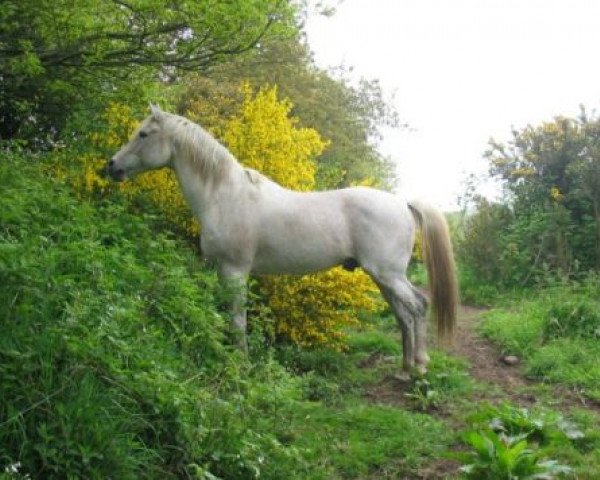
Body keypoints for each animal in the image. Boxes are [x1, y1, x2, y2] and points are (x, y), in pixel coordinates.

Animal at [108, 105, 458, 378]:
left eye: (143, 134)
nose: (112, 166)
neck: (224, 195)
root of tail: (402, 203)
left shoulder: (235, 270)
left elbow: (238, 320)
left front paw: (241, 365)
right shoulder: (221, 270)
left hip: (388, 274)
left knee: (417, 306)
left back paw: (419, 366)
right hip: (382, 277)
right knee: (404, 314)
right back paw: (404, 369)